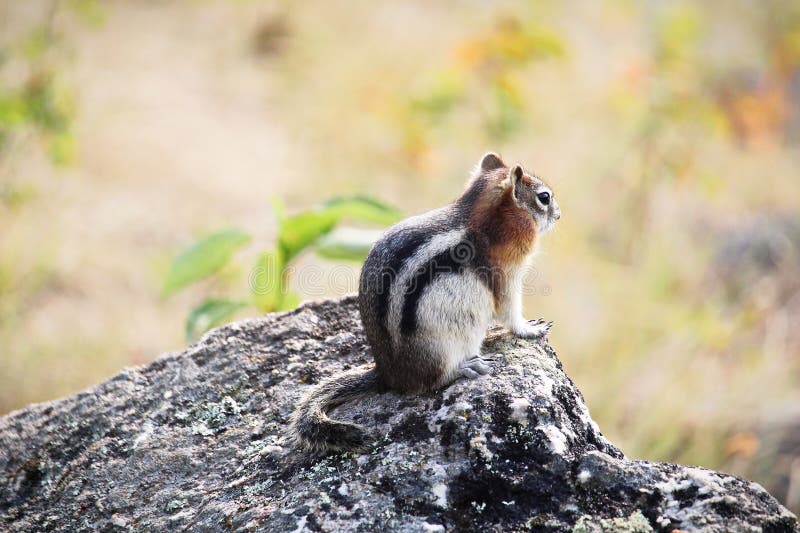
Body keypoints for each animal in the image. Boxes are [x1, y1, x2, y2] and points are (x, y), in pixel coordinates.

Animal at [290, 152, 564, 450]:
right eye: (544, 197)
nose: (559, 214)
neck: (482, 220)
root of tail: (390, 376)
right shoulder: (506, 276)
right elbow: (510, 312)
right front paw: (531, 329)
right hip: (443, 346)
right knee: (432, 381)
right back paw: (466, 366)